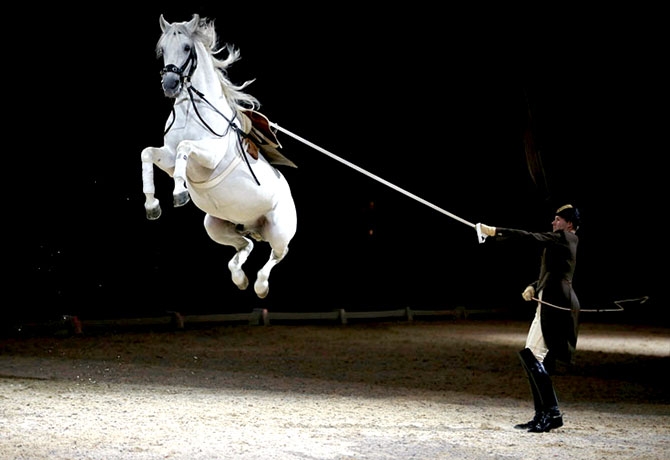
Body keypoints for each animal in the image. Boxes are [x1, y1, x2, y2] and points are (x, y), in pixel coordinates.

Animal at [140, 14, 298, 298]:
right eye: (162, 50)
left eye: (187, 48)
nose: (170, 85)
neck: (192, 111)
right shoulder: (167, 158)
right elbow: (148, 153)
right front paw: (152, 205)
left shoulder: (210, 156)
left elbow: (185, 148)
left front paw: (179, 194)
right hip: (215, 226)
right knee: (245, 245)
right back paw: (240, 279)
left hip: (279, 229)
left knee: (278, 254)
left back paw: (260, 286)